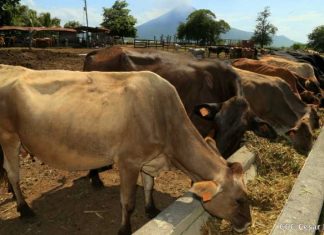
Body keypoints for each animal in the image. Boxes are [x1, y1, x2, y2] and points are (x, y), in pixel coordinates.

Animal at [0, 64, 251, 235]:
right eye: (238, 199)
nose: (248, 223)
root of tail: (9, 68)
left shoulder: (149, 159)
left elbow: (149, 185)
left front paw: (151, 208)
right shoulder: (129, 161)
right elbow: (128, 202)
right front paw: (124, 229)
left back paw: (13, 196)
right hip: (9, 136)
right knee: (12, 172)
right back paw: (24, 208)